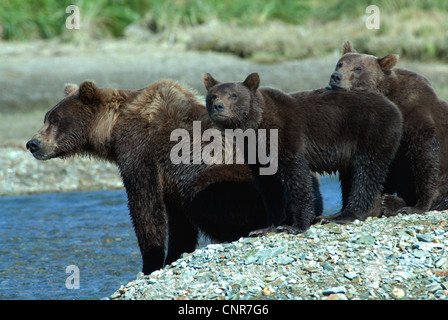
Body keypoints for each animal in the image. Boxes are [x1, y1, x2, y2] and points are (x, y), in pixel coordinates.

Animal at [27, 80, 322, 276]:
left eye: (54, 119)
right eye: (46, 117)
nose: (33, 143)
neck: (114, 129)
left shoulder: (140, 150)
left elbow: (145, 205)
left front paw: (150, 263)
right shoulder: (167, 174)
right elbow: (176, 218)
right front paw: (174, 255)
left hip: (234, 182)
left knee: (207, 196)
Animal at [203, 72, 402, 228]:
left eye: (234, 95)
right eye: (213, 95)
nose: (218, 106)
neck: (256, 125)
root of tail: (394, 107)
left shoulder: (286, 133)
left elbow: (296, 175)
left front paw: (297, 224)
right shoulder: (254, 149)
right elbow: (268, 186)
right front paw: (268, 226)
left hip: (371, 132)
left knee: (365, 173)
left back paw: (344, 215)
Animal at [330, 40, 448, 215]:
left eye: (358, 69)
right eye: (340, 64)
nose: (336, 77)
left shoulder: (414, 113)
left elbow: (425, 156)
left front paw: (419, 205)